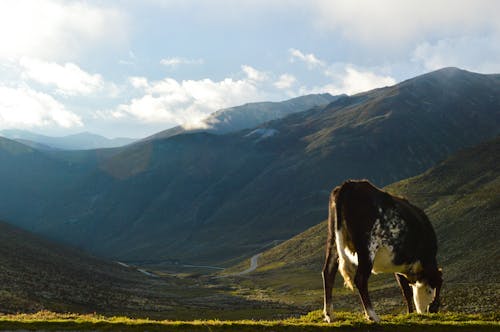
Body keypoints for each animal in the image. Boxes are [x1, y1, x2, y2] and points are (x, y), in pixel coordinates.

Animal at [320, 180, 442, 322]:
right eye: (430, 291)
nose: (423, 312)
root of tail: (350, 184)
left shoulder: (399, 265)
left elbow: (405, 290)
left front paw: (410, 313)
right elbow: (437, 279)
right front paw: (431, 306)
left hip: (332, 239)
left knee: (328, 272)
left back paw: (329, 315)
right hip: (368, 246)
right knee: (360, 279)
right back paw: (372, 315)